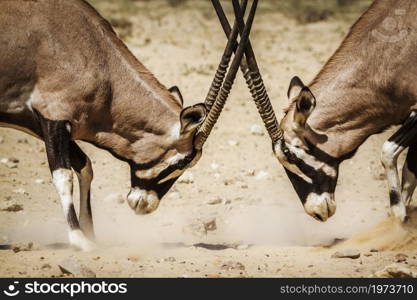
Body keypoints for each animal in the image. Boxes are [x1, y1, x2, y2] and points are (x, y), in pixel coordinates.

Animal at [0, 0, 256, 250]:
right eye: (179, 164)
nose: (144, 205)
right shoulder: (53, 118)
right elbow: (64, 175)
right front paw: (79, 238)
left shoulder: (51, 125)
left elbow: (85, 166)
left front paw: (90, 233)